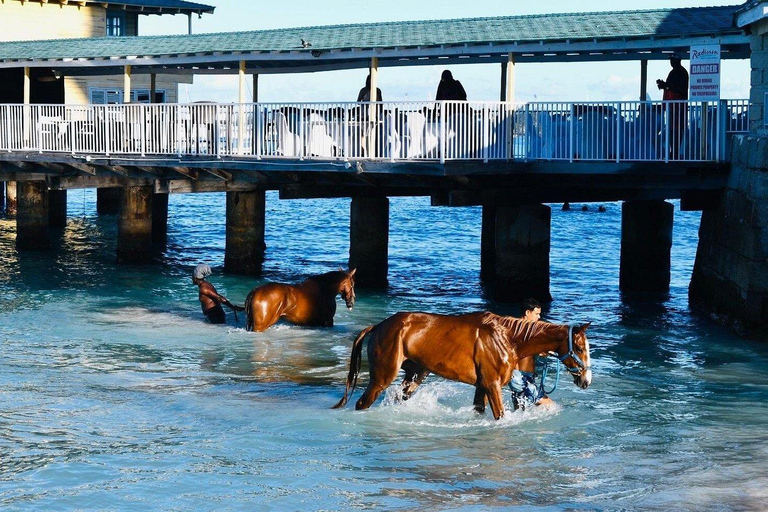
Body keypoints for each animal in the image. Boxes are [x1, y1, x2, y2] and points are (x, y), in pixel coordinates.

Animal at [332, 312, 592, 420]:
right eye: (579, 348)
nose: (586, 380)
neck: (508, 338)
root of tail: (378, 326)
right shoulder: (492, 385)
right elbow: (500, 415)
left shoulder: (482, 386)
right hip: (382, 378)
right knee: (362, 403)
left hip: (416, 375)